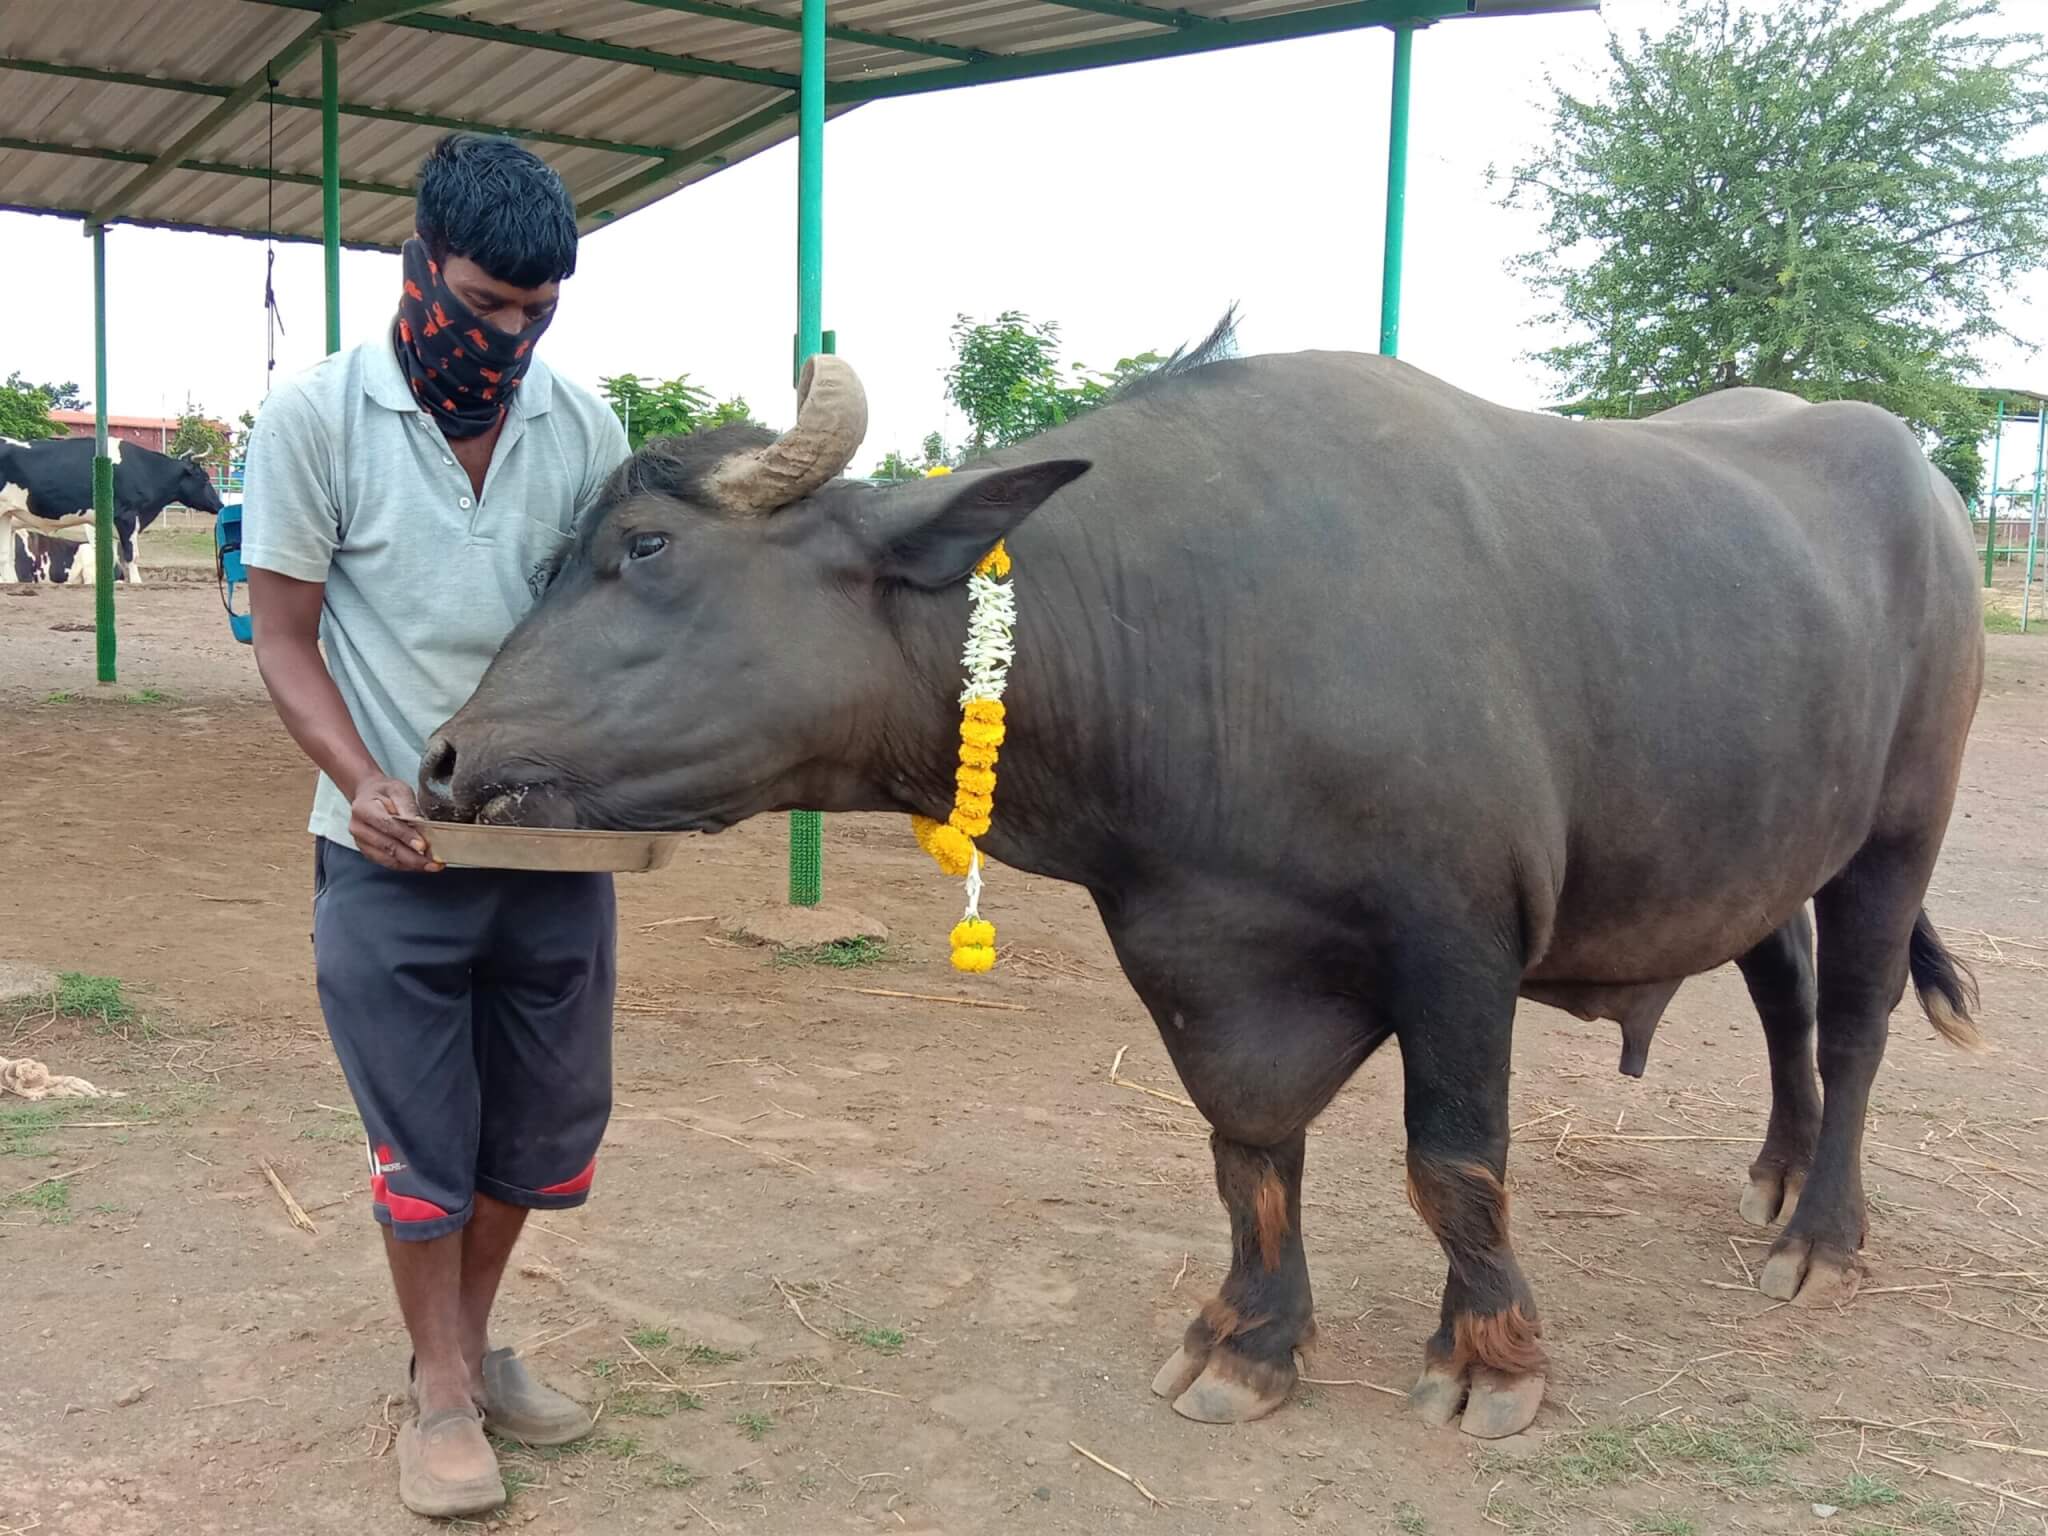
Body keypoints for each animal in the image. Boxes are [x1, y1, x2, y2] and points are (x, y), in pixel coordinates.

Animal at [411, 333, 1982, 1441]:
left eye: (645, 549)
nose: (445, 756)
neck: (1202, 632)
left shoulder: (1460, 939)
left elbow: (1453, 1163)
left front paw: (1490, 1362)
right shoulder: (1199, 948)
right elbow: (1248, 1153)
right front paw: (1247, 1342)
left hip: (1900, 828)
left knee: (1853, 1023)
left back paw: (1823, 1238)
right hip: (1756, 848)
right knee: (1782, 998)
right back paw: (1773, 1178)